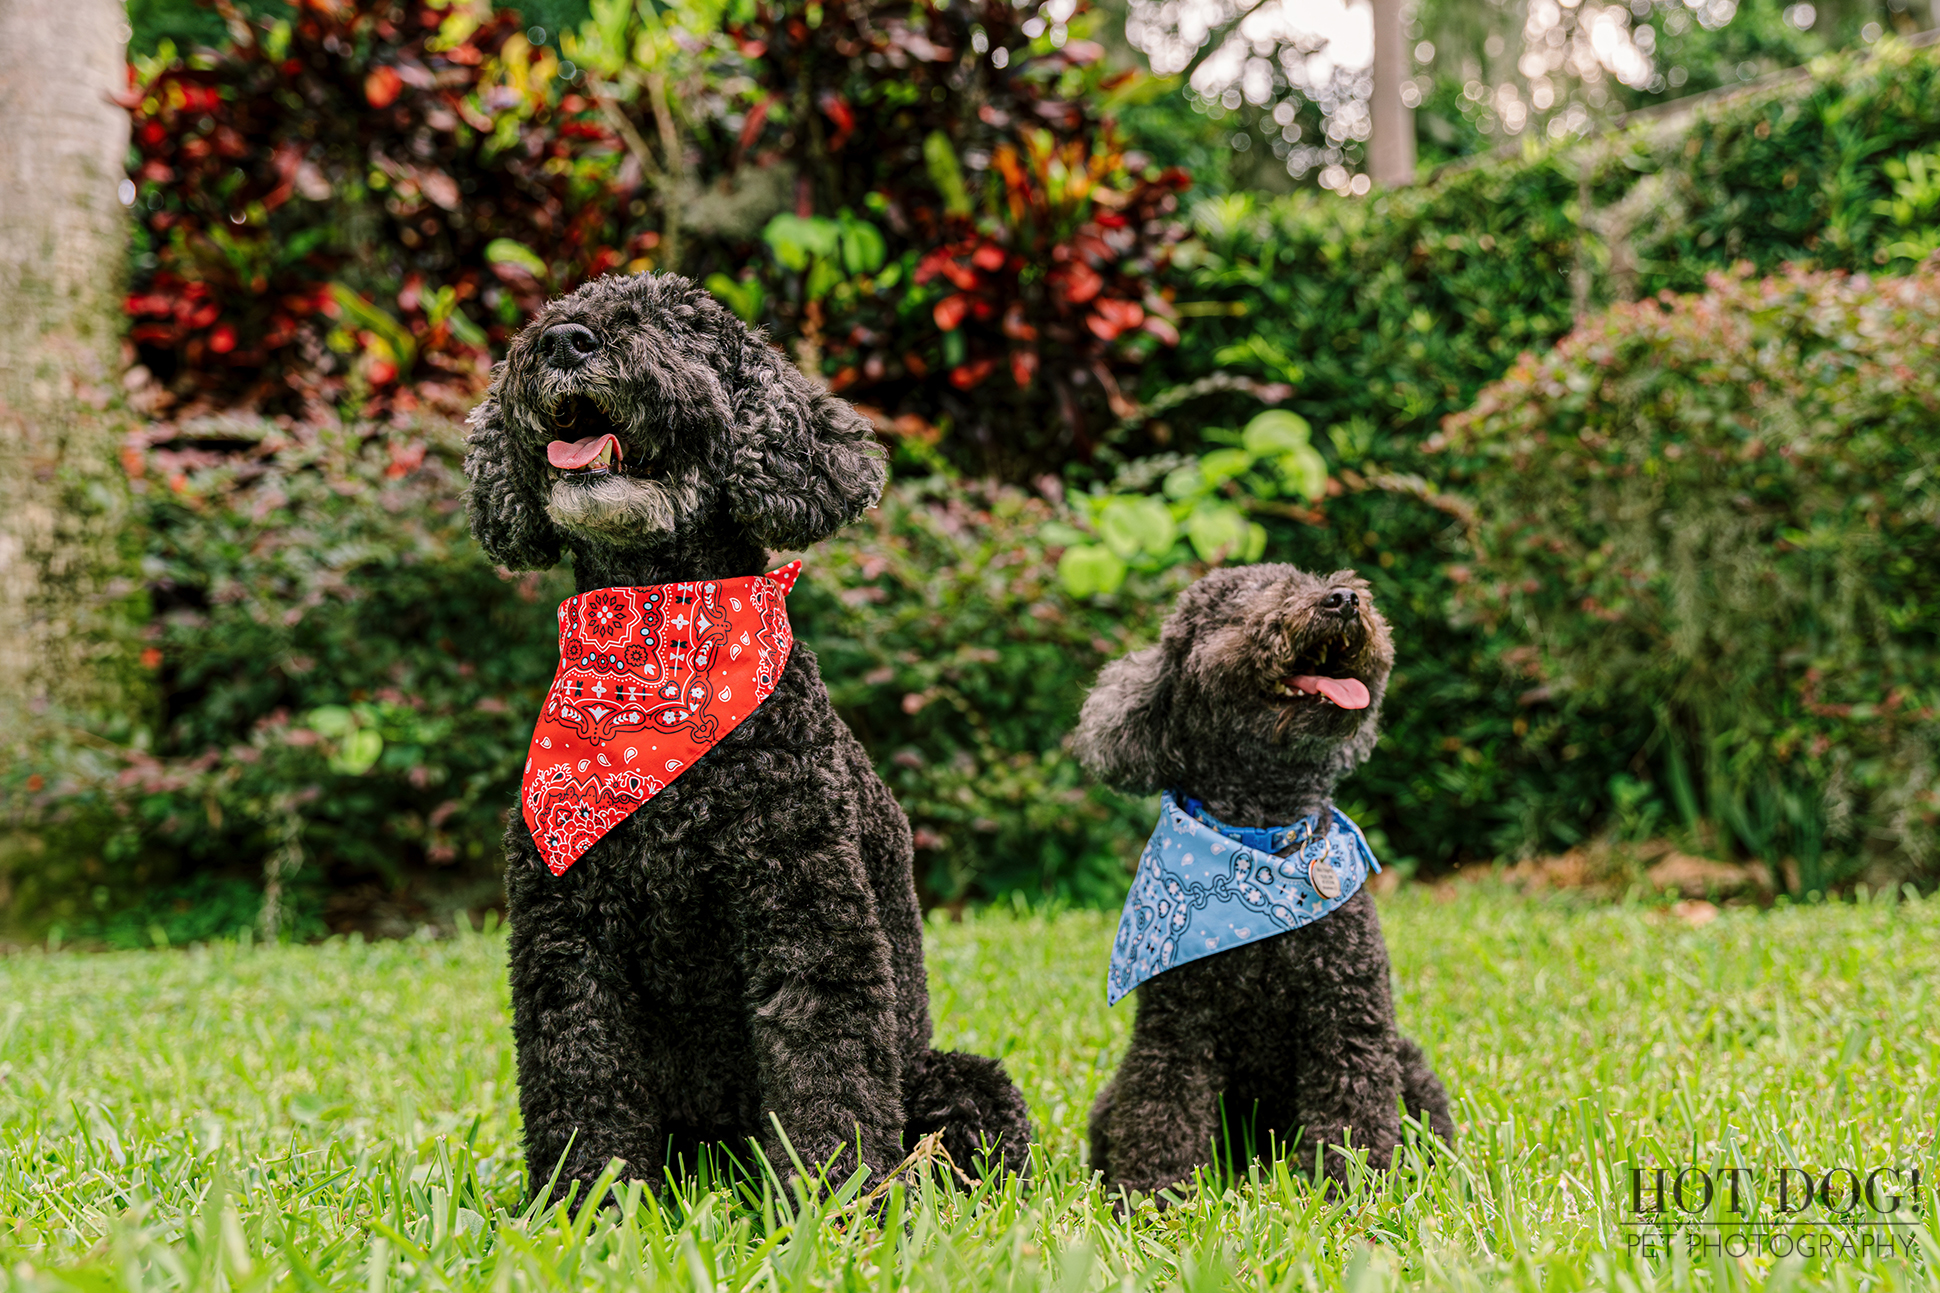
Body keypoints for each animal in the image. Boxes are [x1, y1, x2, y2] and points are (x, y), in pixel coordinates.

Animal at [459, 271, 1032, 1195]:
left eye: (680, 327)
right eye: (554, 312)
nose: (565, 340)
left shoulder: (806, 914)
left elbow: (825, 1068)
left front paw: (836, 1198)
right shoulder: (565, 940)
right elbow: (577, 1076)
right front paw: (585, 1203)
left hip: (953, 1078)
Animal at [1078, 563, 1458, 1195]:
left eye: (1304, 580)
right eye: (1242, 607)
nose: (1344, 599)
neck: (1263, 844)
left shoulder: (1348, 1018)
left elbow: (1352, 1112)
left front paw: (1351, 1191)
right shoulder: (1176, 1029)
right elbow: (1164, 1108)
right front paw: (1157, 1196)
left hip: (1408, 1066)